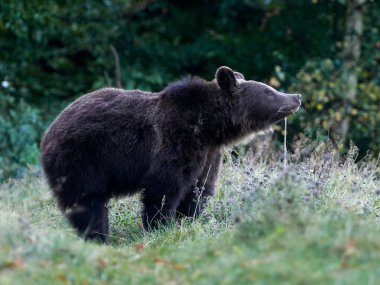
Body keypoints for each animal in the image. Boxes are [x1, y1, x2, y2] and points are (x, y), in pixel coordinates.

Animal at [40, 66, 302, 242]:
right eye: (268, 91)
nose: (296, 96)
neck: (209, 127)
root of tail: (48, 132)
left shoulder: (208, 154)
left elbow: (199, 189)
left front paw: (188, 219)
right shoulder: (176, 142)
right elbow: (165, 187)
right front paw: (160, 226)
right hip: (83, 158)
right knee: (87, 202)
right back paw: (97, 236)